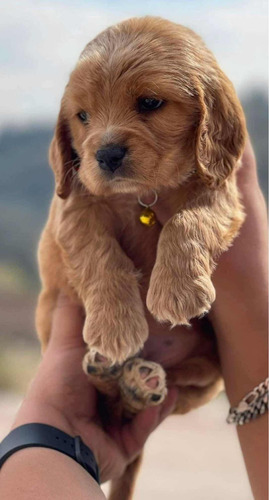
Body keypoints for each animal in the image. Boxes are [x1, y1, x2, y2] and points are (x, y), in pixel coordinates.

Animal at [36, 16, 246, 500]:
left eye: (150, 103)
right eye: (83, 116)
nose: (106, 154)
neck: (141, 196)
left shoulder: (223, 190)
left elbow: (188, 221)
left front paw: (177, 292)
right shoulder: (73, 206)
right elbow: (101, 256)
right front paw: (116, 327)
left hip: (205, 378)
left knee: (154, 397)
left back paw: (138, 383)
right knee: (108, 397)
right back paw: (109, 366)